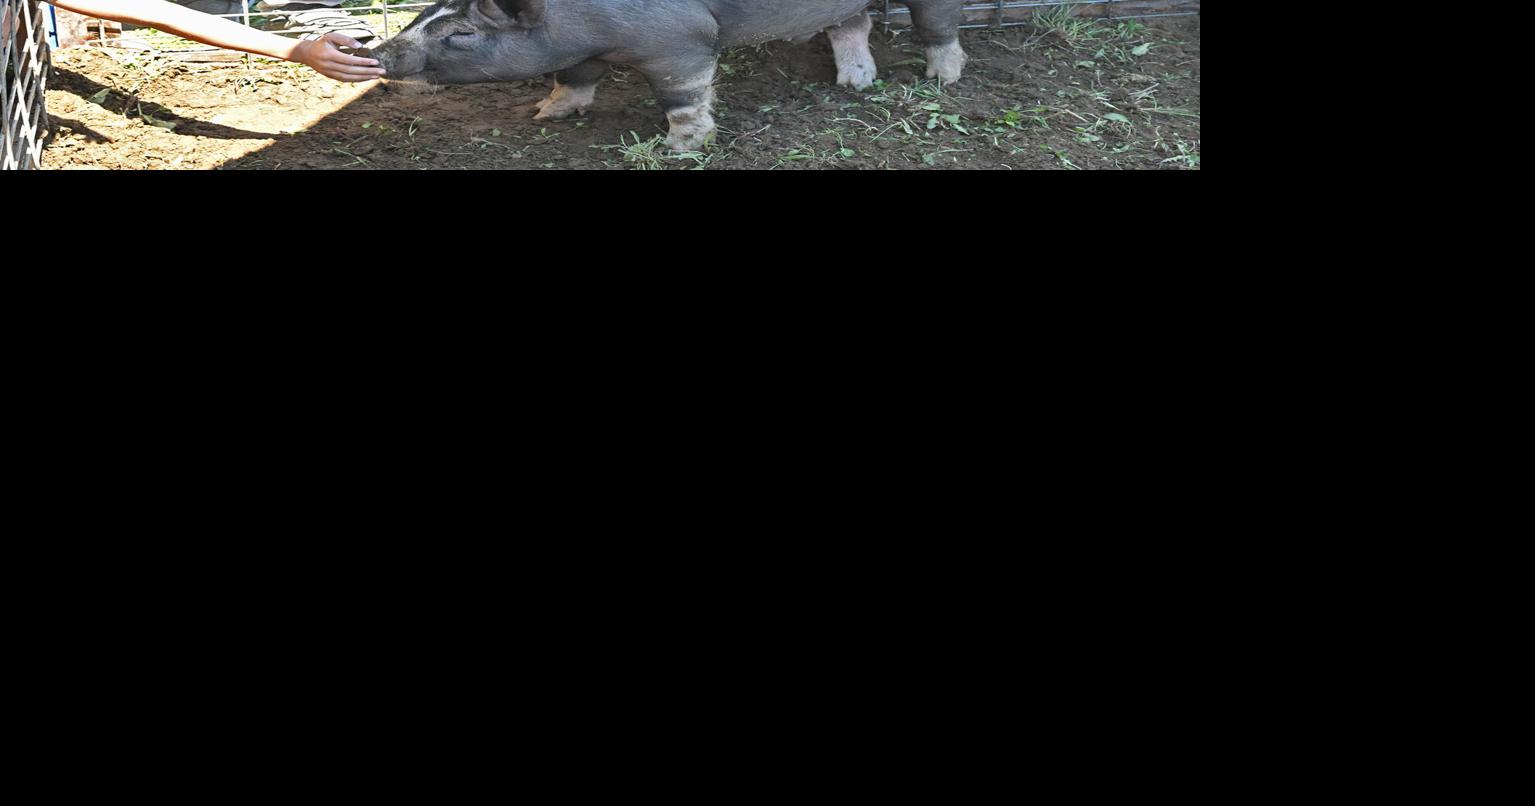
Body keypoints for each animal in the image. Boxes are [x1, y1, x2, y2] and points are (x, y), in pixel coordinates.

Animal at [371, 1, 967, 152]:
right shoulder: (583, 53)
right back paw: (853, 85)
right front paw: (544, 114)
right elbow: (574, 76)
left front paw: (679, 148)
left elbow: (683, 96)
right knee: (853, 24)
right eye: (424, 13)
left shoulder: (680, 42)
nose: (377, 55)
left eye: (462, 34)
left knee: (938, 24)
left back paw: (945, 80)